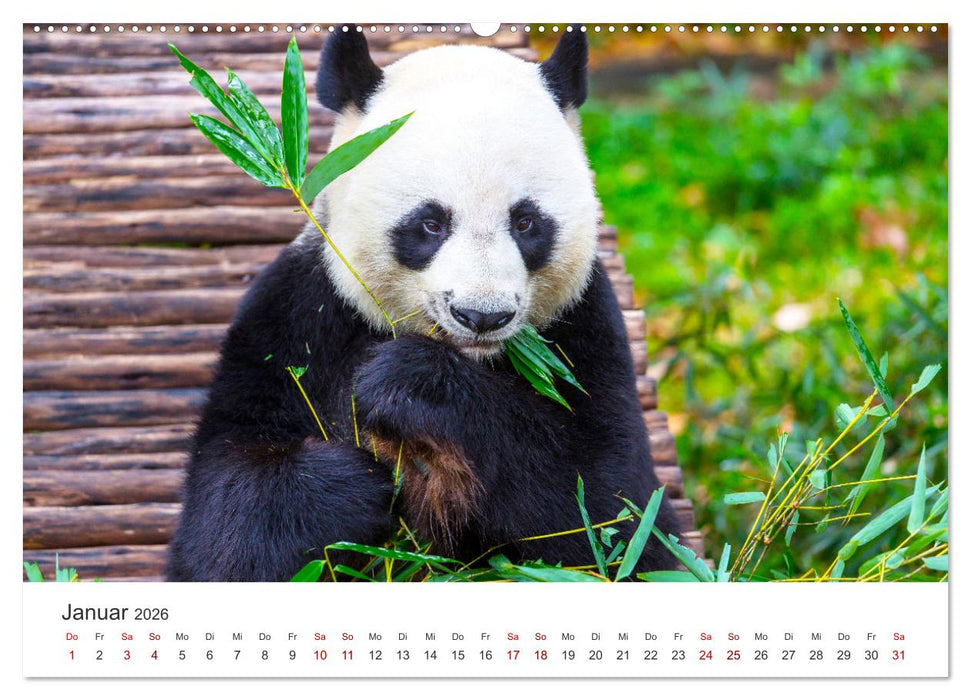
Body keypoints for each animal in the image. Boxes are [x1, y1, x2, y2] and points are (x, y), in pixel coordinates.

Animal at [166, 27, 681, 581]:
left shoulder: (583, 326)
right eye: (430, 223)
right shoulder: (299, 316)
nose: (482, 316)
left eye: (526, 222)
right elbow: (225, 520)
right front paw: (356, 482)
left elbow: (613, 513)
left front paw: (414, 384)